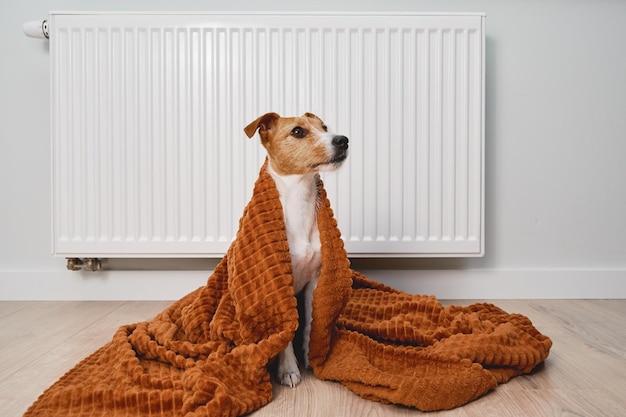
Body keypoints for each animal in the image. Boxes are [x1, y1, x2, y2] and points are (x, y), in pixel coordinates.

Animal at [243, 111, 348, 386]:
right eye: (298, 132)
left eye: (324, 127)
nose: (343, 140)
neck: (299, 198)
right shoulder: (280, 287)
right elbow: (287, 333)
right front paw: (289, 369)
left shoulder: (315, 281)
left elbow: (311, 322)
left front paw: (311, 356)